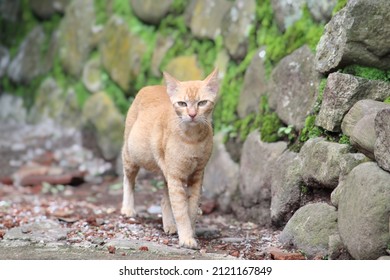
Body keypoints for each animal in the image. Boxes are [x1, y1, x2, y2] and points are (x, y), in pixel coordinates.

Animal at [121, 69, 219, 248]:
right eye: (182, 104)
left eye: (202, 103)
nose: (192, 114)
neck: (193, 139)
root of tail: (149, 86)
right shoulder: (175, 175)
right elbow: (180, 210)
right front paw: (186, 238)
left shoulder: (197, 175)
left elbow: (191, 207)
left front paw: (190, 231)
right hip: (131, 155)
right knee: (128, 180)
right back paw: (128, 208)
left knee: (165, 199)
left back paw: (169, 225)